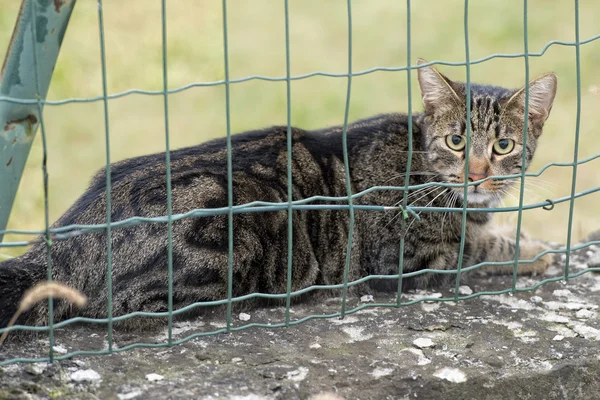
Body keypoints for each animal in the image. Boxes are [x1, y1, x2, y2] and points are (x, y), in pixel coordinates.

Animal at [0, 59, 556, 328]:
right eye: (457, 142)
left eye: (504, 146)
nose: (477, 175)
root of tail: (64, 242)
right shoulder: (409, 256)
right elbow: (481, 248)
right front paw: (534, 250)